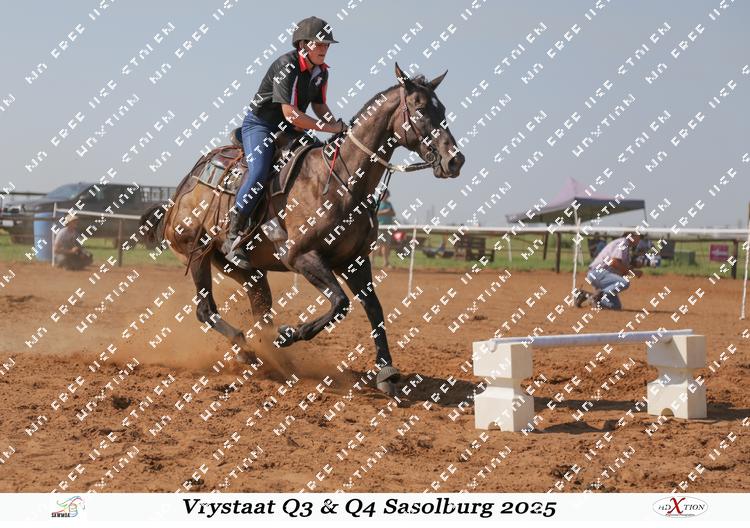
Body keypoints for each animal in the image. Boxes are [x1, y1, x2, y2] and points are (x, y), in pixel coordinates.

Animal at [139, 63, 465, 394]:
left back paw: (267, 357)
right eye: (420, 108)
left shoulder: (355, 261)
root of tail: (182, 191)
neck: (339, 182)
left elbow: (374, 308)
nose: (455, 160)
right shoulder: (302, 256)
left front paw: (386, 372)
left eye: (442, 109)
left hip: (247, 271)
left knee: (260, 312)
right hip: (197, 255)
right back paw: (249, 349)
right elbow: (340, 303)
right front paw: (290, 334)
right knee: (206, 310)